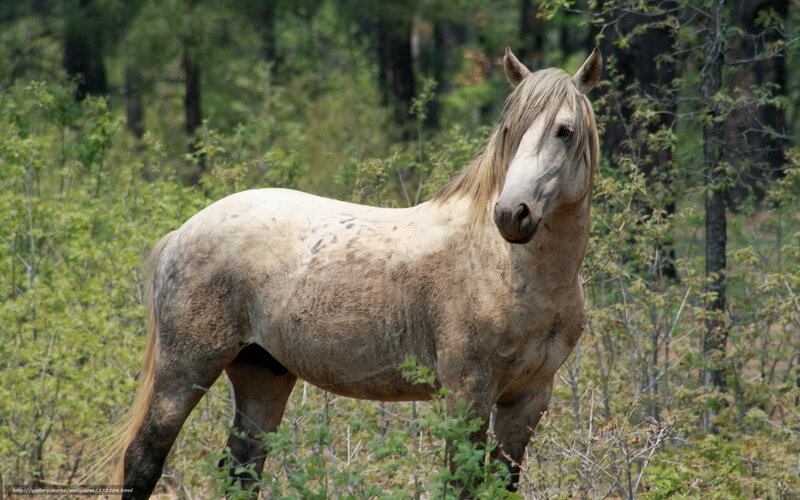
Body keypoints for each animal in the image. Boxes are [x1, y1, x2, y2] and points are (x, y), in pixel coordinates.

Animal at [111, 47, 602, 498]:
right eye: (508, 131)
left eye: (565, 131)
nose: (511, 214)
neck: (511, 271)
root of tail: (183, 231)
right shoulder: (467, 393)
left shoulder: (528, 398)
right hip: (184, 369)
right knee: (144, 457)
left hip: (262, 374)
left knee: (242, 470)